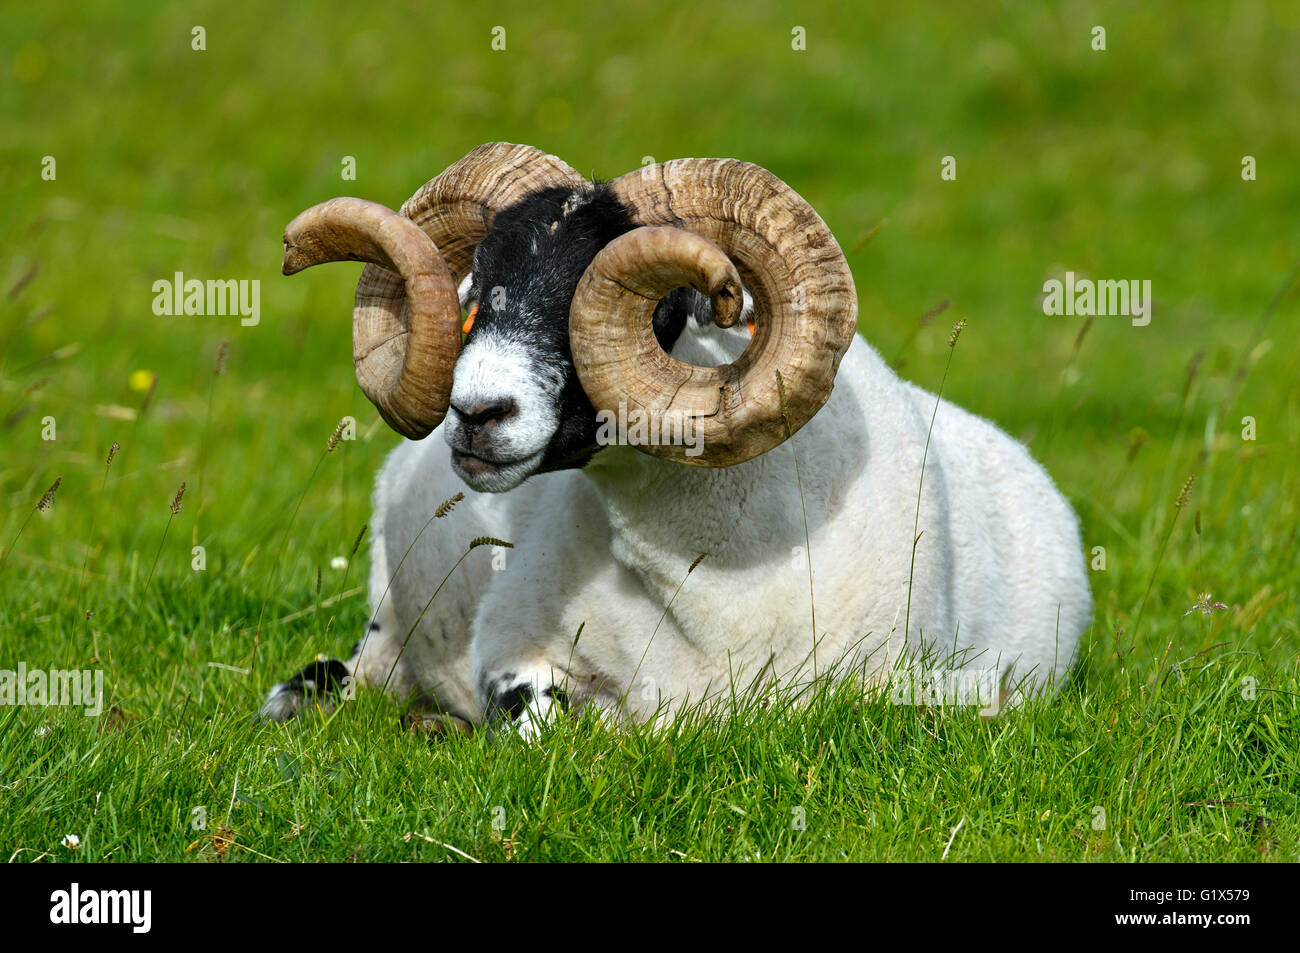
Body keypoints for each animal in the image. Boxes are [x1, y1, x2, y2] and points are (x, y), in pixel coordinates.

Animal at [261, 142, 1092, 734]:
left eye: (665, 305)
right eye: (475, 293)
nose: (476, 412)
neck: (716, 579)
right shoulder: (509, 650)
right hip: (387, 624)